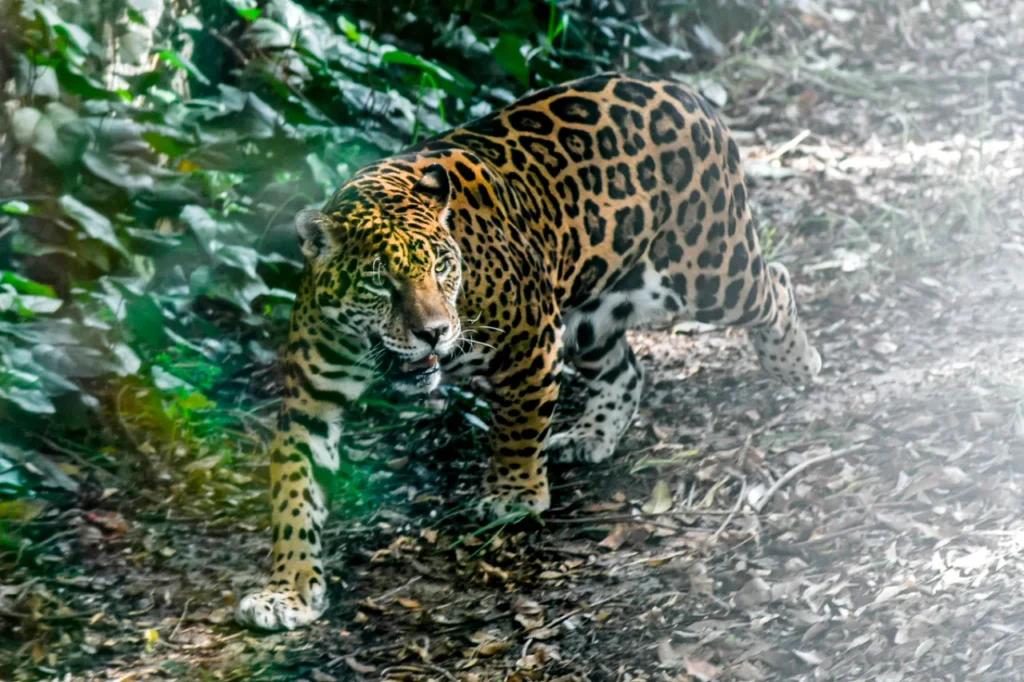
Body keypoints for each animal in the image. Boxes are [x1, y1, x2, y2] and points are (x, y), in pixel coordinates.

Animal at [235, 72, 822, 630]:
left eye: (441, 267)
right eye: (381, 283)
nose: (434, 332)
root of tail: (681, 90)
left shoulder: (531, 335)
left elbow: (519, 422)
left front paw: (514, 495)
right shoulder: (311, 400)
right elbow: (294, 491)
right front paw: (287, 590)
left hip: (706, 272)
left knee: (775, 282)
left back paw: (797, 364)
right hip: (595, 313)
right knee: (626, 369)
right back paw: (589, 436)